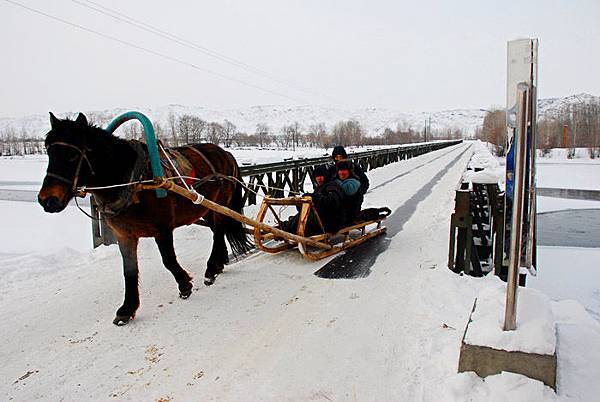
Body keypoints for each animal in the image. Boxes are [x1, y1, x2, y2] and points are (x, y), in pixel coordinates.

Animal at [37, 111, 253, 326]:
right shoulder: (124, 235)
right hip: (206, 209)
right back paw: (219, 263)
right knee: (219, 231)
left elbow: (168, 260)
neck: (134, 181)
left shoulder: (162, 228)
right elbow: (129, 270)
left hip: (220, 203)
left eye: (73, 155)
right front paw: (127, 308)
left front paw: (184, 284)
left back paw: (211, 269)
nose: (47, 200)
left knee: (218, 232)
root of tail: (225, 153)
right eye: (48, 151)